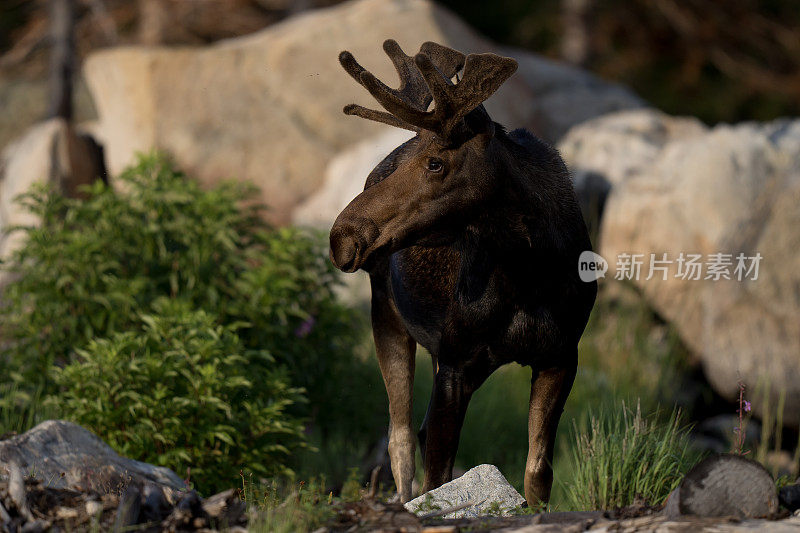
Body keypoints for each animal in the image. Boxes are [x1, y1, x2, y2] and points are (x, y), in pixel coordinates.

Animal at [328, 39, 596, 504]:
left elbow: (538, 470)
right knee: (400, 438)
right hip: (387, 314)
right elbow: (437, 476)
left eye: (436, 163)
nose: (342, 236)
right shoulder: (457, 362)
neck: (530, 274)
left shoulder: (562, 355)